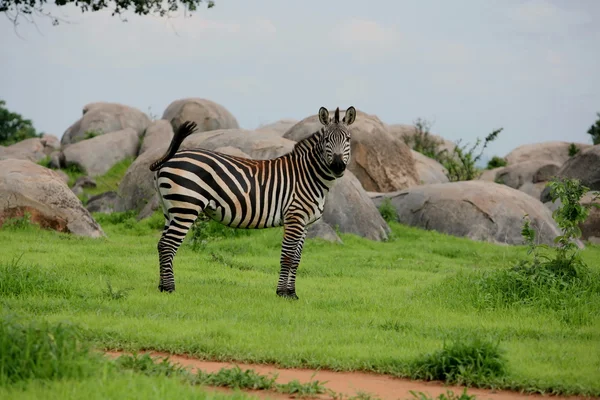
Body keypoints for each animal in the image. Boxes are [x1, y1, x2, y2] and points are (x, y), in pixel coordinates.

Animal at [150, 106, 356, 300]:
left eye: (348, 139)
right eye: (327, 139)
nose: (338, 166)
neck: (308, 176)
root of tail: (168, 160)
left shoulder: (304, 224)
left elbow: (297, 259)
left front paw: (292, 293)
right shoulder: (294, 218)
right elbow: (288, 257)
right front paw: (282, 293)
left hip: (170, 210)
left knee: (161, 244)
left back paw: (161, 287)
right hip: (186, 207)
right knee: (168, 245)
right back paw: (169, 289)